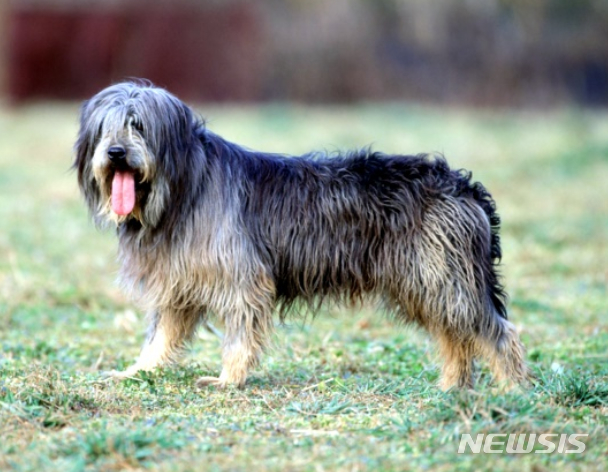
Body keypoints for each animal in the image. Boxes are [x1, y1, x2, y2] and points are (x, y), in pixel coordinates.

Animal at [72, 81, 528, 390]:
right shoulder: (178, 284)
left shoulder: (242, 278)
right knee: (455, 336)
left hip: (445, 277)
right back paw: (453, 388)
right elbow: (160, 337)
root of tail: (463, 185)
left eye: (139, 126)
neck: (185, 187)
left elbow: (240, 335)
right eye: (105, 129)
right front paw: (137, 371)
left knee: (496, 333)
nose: (116, 153)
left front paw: (228, 380)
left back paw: (512, 390)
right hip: (426, 281)